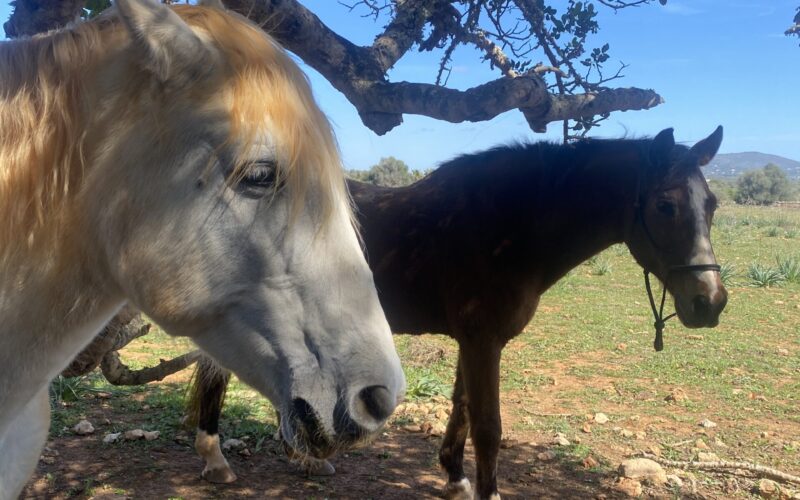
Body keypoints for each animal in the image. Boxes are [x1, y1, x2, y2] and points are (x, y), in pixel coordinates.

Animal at [186, 127, 724, 498]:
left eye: (713, 205)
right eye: (666, 205)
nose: (710, 301)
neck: (509, 228)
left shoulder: (477, 342)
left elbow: (462, 409)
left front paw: (454, 478)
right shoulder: (482, 341)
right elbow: (488, 427)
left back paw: (306, 460)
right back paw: (216, 460)